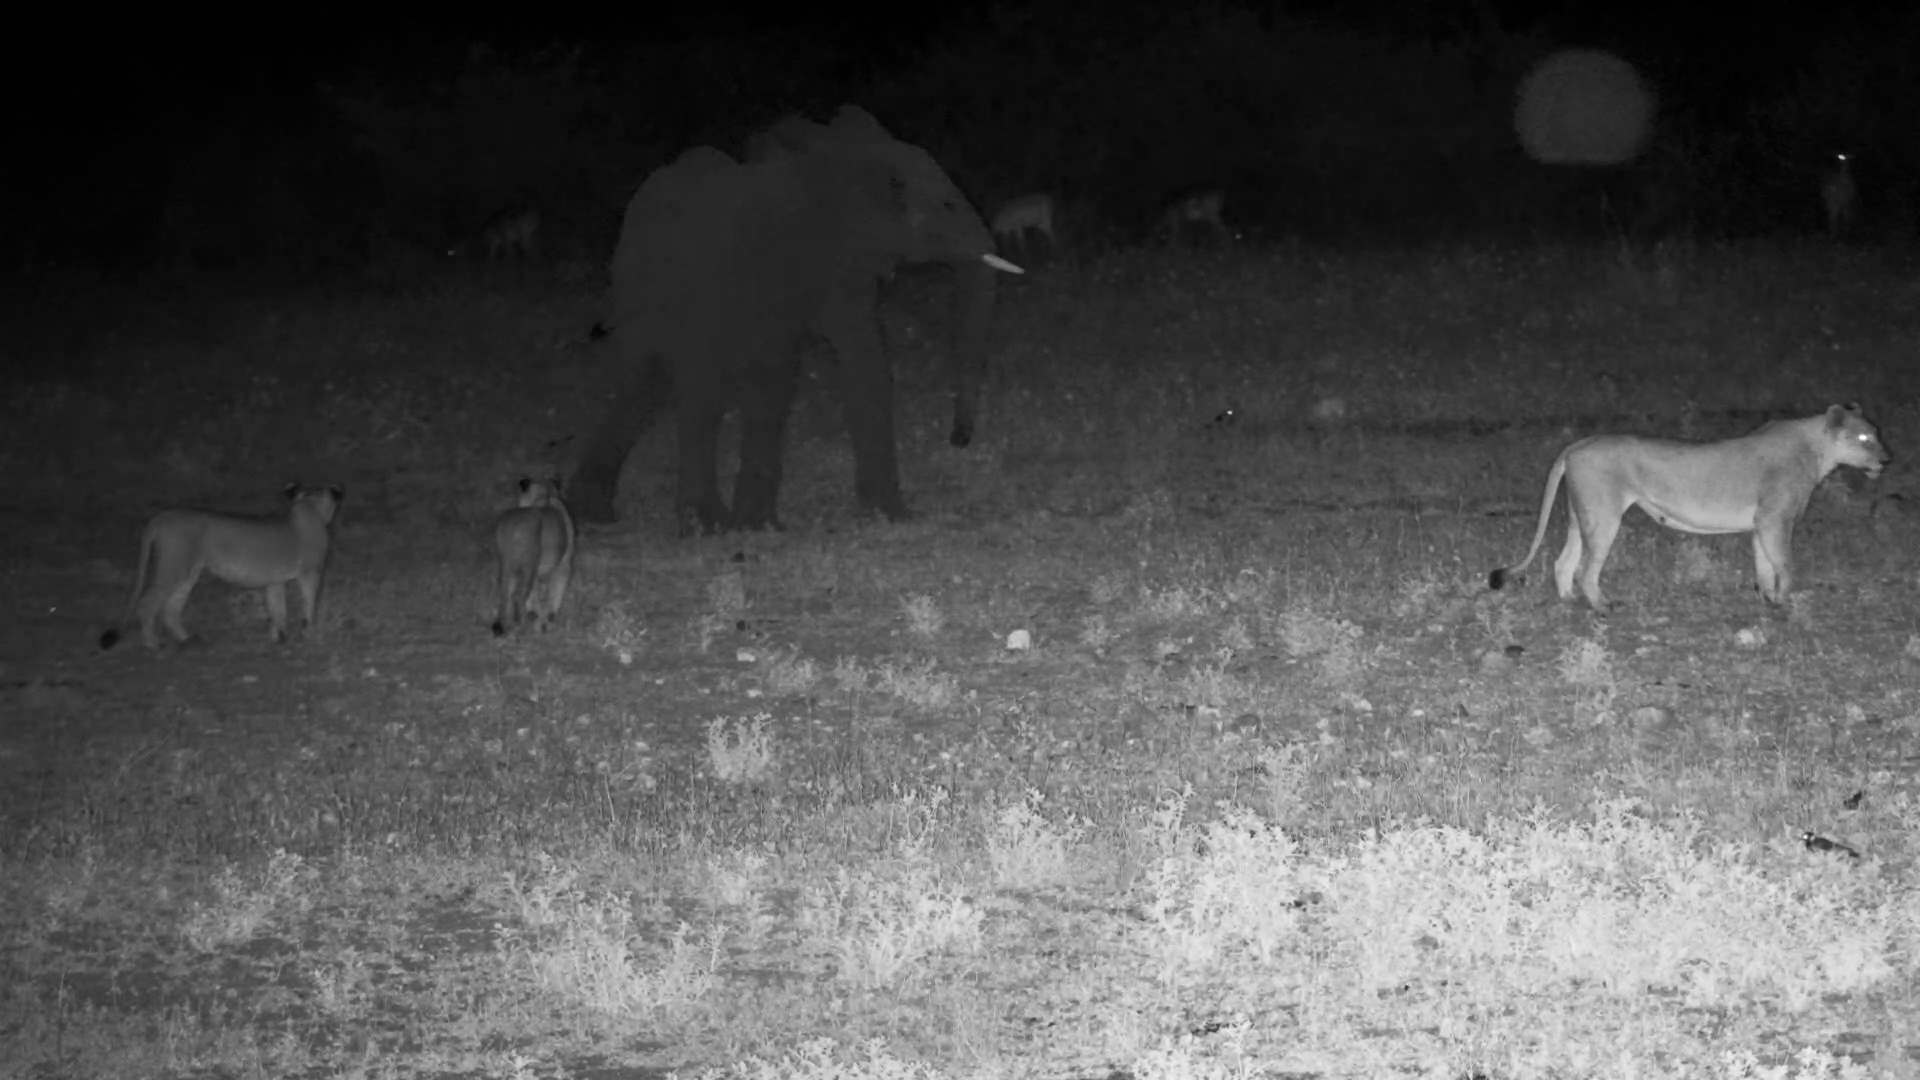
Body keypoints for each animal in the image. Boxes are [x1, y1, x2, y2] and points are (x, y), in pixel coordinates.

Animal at [100, 484, 345, 650]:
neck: (308, 506)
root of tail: (162, 516)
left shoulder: (274, 581)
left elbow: (278, 608)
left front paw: (279, 637)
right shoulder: (310, 573)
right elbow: (308, 604)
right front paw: (309, 633)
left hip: (189, 573)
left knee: (171, 608)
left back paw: (188, 639)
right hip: (173, 565)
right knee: (148, 603)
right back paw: (153, 642)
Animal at [491, 477, 576, 637]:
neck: (544, 495)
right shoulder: (563, 564)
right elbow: (555, 592)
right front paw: (546, 619)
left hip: (507, 564)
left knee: (505, 595)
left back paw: (503, 625)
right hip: (528, 567)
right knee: (517, 597)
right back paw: (521, 623)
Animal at [569, 105, 1023, 531]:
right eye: (946, 204)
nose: (958, 440)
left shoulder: (842, 269)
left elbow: (865, 359)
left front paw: (887, 517)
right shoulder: (783, 262)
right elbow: (778, 374)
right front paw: (755, 525)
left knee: (647, 386)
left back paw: (593, 514)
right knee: (698, 390)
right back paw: (705, 526)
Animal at [1489, 404, 1887, 610]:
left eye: (1876, 434)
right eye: (1864, 438)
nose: (1887, 459)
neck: (1816, 451)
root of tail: (1577, 444)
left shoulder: (1761, 523)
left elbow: (1765, 566)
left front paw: (1769, 601)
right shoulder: (1776, 520)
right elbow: (1786, 565)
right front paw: (1786, 605)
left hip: (1581, 514)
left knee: (1563, 562)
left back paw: (1570, 601)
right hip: (1603, 516)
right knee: (1587, 568)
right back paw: (1603, 607)